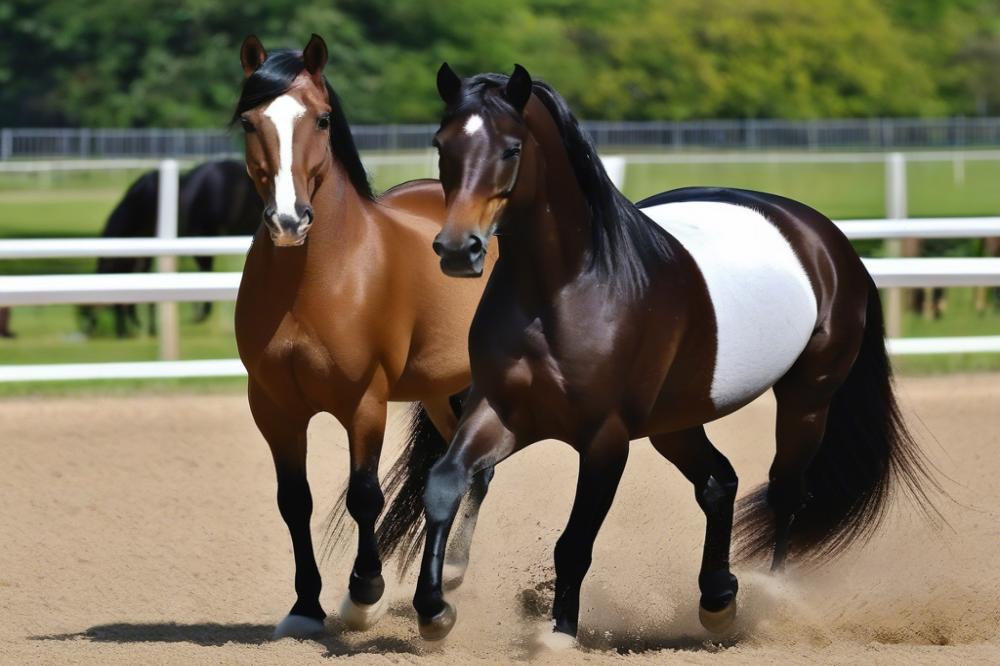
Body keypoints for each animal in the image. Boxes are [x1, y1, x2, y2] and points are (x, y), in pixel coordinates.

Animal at [231, 36, 504, 640]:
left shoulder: (364, 402)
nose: (289, 220)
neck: (317, 281)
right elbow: (294, 501)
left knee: (474, 474)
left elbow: (364, 496)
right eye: (248, 122)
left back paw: (449, 578)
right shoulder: (272, 408)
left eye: (322, 119)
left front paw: (363, 595)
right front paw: (305, 606)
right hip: (437, 391)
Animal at [408, 66, 936, 644]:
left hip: (806, 398)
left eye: (511, 148)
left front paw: (559, 635)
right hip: (675, 422)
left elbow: (574, 542)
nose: (458, 249)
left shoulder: (605, 439)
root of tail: (826, 240)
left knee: (786, 491)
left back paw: (771, 597)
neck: (565, 288)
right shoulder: (500, 412)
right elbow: (445, 483)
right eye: (442, 145)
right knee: (719, 482)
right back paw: (718, 600)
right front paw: (435, 610)